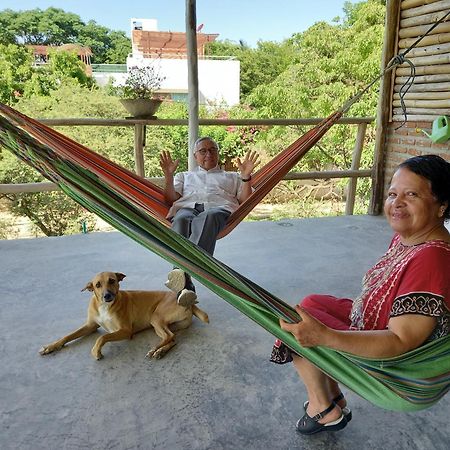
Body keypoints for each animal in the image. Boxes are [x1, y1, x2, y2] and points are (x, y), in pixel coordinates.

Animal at [39, 270, 208, 362]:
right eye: (97, 285)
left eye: (112, 280)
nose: (107, 296)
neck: (104, 306)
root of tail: (188, 301)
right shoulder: (91, 326)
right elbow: (68, 336)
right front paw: (51, 346)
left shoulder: (126, 331)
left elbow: (102, 337)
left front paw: (96, 351)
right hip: (165, 325)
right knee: (173, 338)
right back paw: (160, 351)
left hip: (155, 318)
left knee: (168, 336)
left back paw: (155, 349)